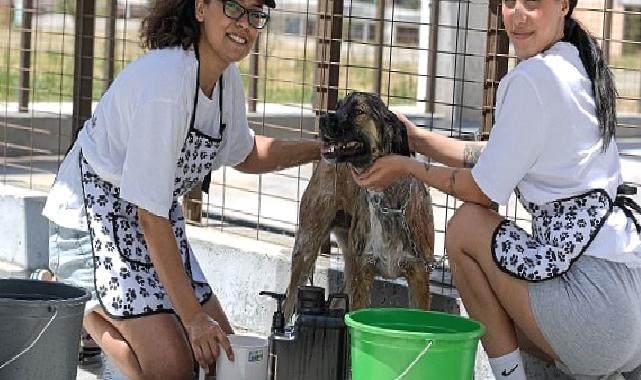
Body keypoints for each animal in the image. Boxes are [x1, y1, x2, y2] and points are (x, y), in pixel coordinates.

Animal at [284, 93, 436, 320]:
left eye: (358, 111)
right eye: (338, 106)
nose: (323, 120)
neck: (387, 203)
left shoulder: (418, 275)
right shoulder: (362, 275)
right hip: (307, 247)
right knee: (288, 301)